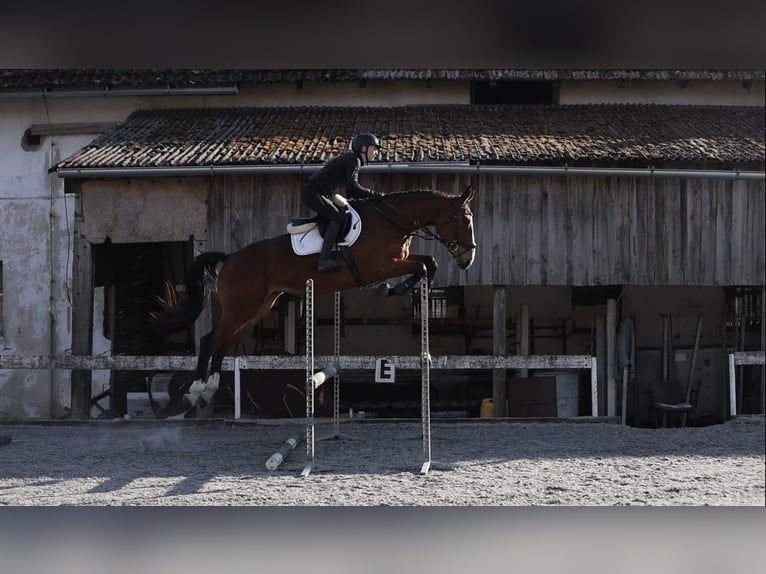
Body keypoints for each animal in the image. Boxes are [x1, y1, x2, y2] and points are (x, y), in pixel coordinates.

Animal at [153, 185, 477, 412]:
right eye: (464, 220)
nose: (467, 260)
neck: (394, 221)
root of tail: (230, 258)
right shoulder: (382, 265)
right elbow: (423, 266)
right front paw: (393, 289)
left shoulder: (399, 260)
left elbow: (429, 264)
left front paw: (400, 290)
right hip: (240, 309)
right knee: (210, 341)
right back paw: (195, 390)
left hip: (256, 309)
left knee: (223, 343)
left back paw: (210, 388)